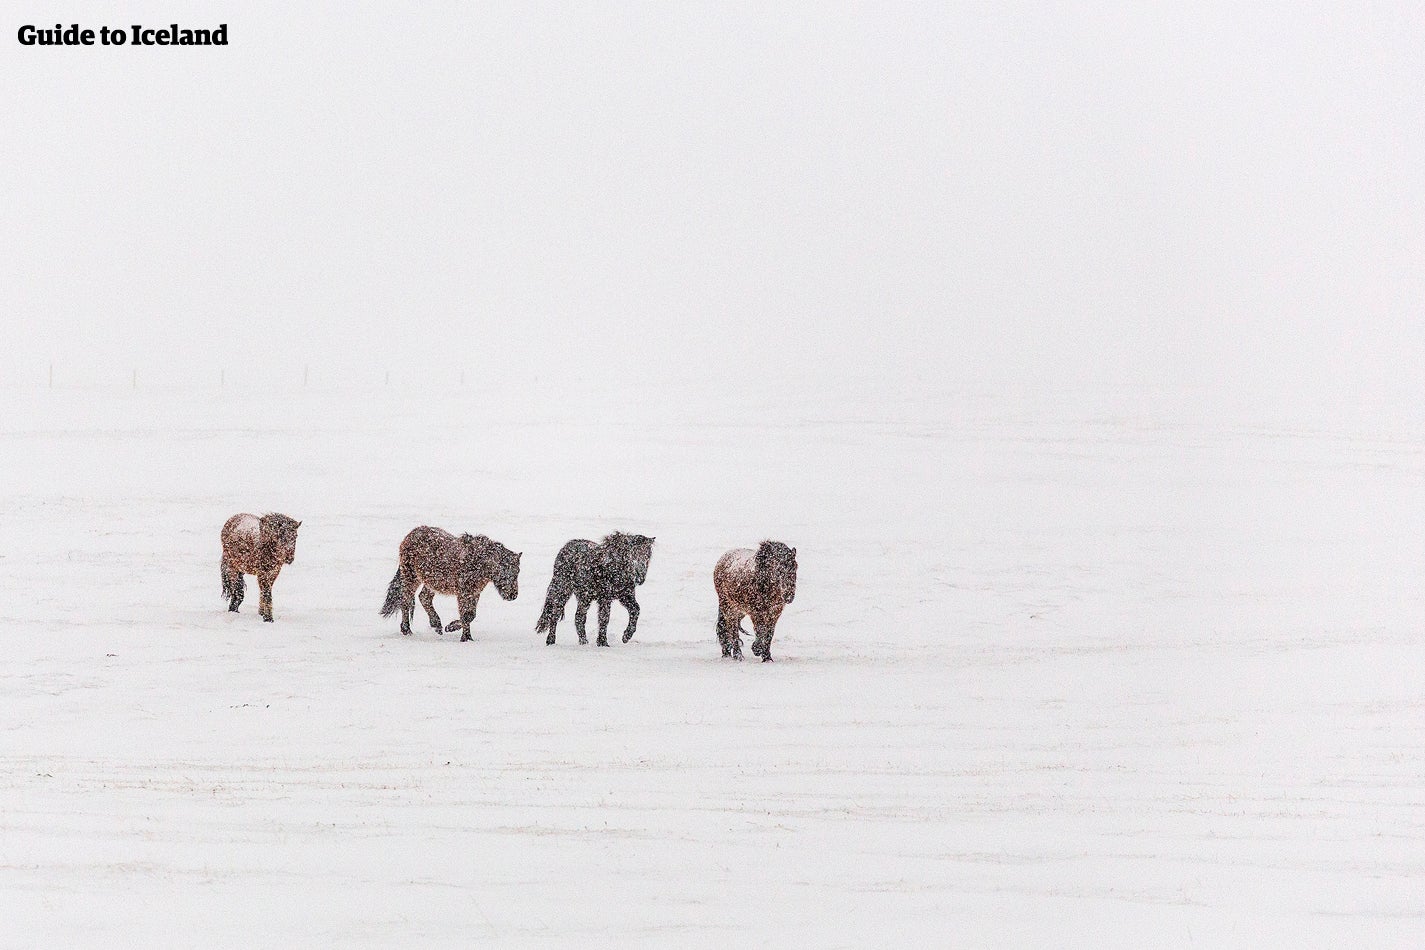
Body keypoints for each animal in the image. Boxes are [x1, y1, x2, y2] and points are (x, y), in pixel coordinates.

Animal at [384, 524, 524, 643]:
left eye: (517, 571)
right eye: (504, 571)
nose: (512, 595)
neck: (479, 563)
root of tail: (410, 534)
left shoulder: (474, 593)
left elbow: (471, 615)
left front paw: (457, 631)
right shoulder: (463, 593)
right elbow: (466, 615)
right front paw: (461, 635)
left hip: (430, 582)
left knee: (424, 598)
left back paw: (437, 625)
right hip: (410, 577)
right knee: (406, 601)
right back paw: (407, 630)